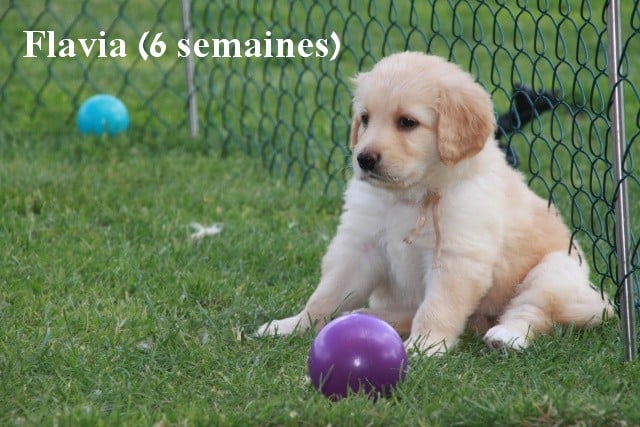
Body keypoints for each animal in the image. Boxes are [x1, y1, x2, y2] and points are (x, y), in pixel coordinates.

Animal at [257, 51, 614, 355]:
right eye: (365, 118)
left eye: (407, 122)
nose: (364, 159)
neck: (412, 195)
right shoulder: (360, 248)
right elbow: (326, 295)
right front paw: (291, 326)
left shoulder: (457, 256)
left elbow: (438, 306)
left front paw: (426, 345)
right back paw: (374, 316)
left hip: (556, 272)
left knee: (533, 310)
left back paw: (506, 335)